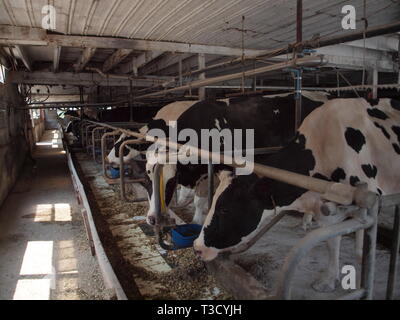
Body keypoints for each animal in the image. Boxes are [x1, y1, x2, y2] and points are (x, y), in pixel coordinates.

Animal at [194, 97, 400, 292]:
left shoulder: (369, 199)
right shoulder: (326, 208)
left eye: (225, 210)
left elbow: (358, 238)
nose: (197, 247)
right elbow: (332, 240)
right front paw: (329, 279)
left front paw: (358, 273)